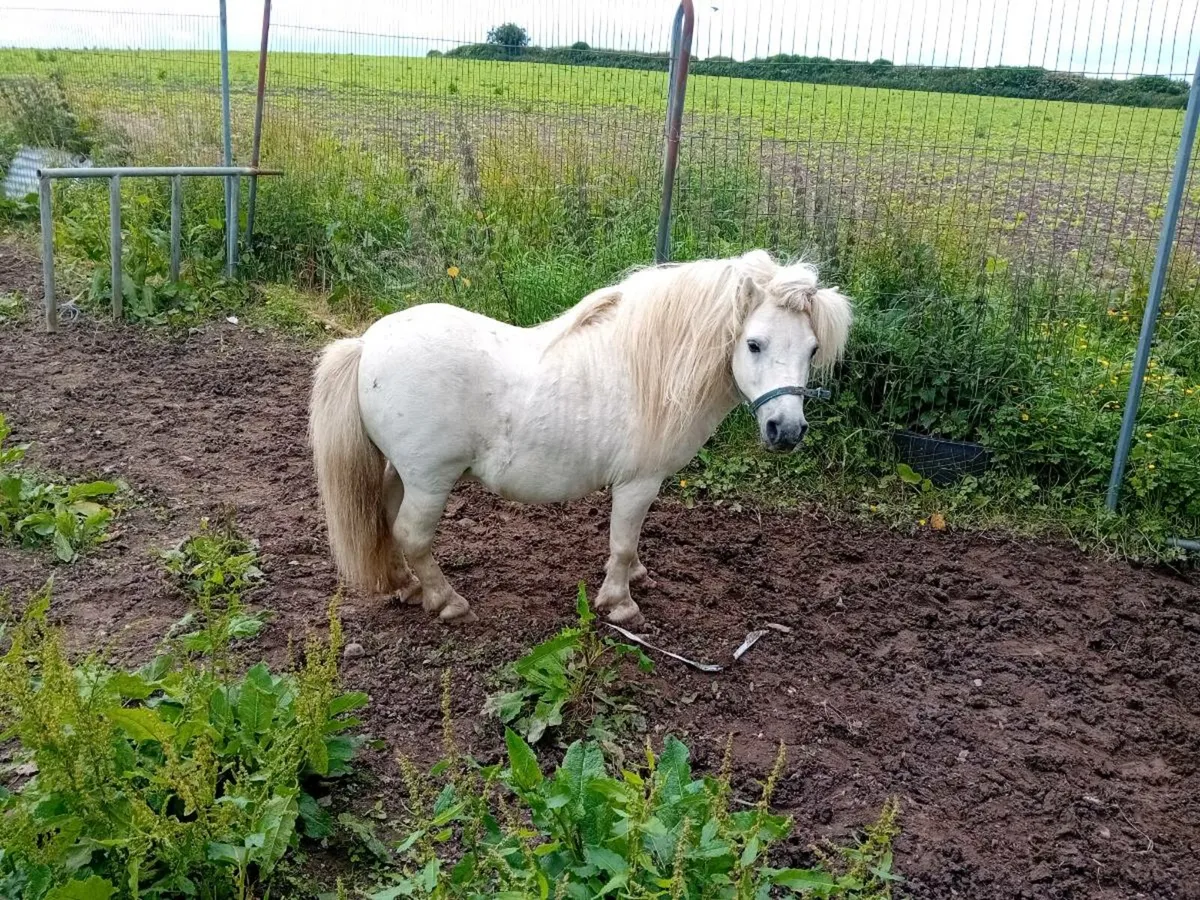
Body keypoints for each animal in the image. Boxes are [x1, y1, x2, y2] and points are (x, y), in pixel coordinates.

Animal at [308, 249, 852, 625]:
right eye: (754, 344)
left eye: (812, 348)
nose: (787, 430)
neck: (651, 370)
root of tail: (365, 343)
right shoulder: (638, 484)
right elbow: (623, 543)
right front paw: (621, 604)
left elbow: (630, 544)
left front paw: (634, 579)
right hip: (430, 480)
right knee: (412, 534)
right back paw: (448, 601)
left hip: (403, 472)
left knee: (386, 519)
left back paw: (406, 586)